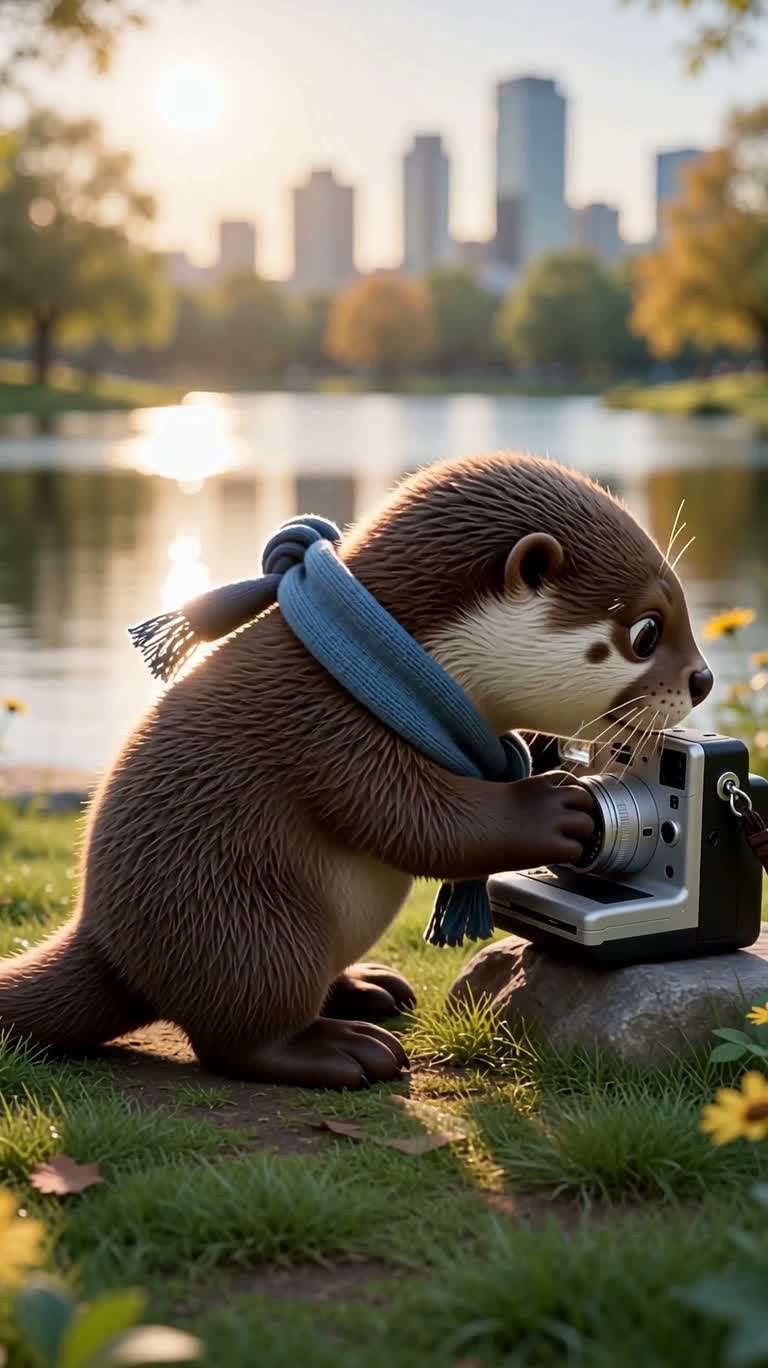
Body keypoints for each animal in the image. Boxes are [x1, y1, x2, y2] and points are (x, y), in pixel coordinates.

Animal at [0, 454, 712, 1088]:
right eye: (646, 632)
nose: (704, 680)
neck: (385, 667)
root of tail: (105, 942)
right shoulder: (327, 725)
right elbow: (422, 823)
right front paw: (555, 808)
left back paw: (369, 989)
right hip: (248, 922)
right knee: (236, 1038)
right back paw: (342, 1051)